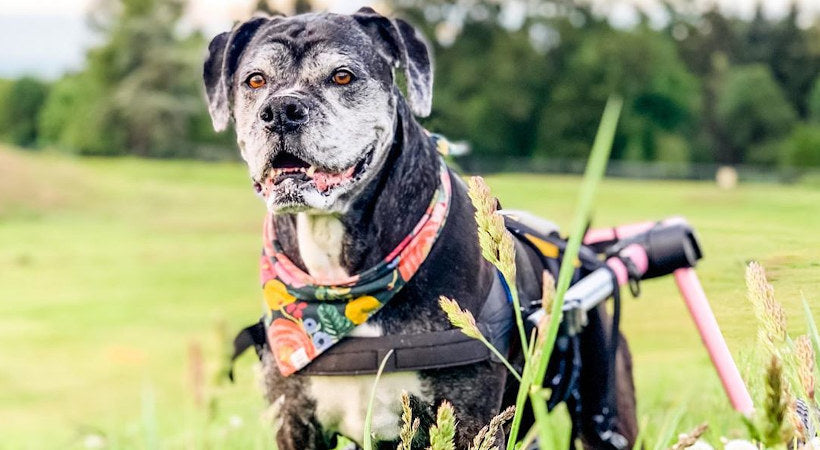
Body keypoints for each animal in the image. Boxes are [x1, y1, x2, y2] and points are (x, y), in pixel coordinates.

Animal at [203, 8, 637, 449]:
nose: (281, 110)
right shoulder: (295, 422)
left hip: (606, 414)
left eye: (342, 76)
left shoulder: (469, 418)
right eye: (255, 80)